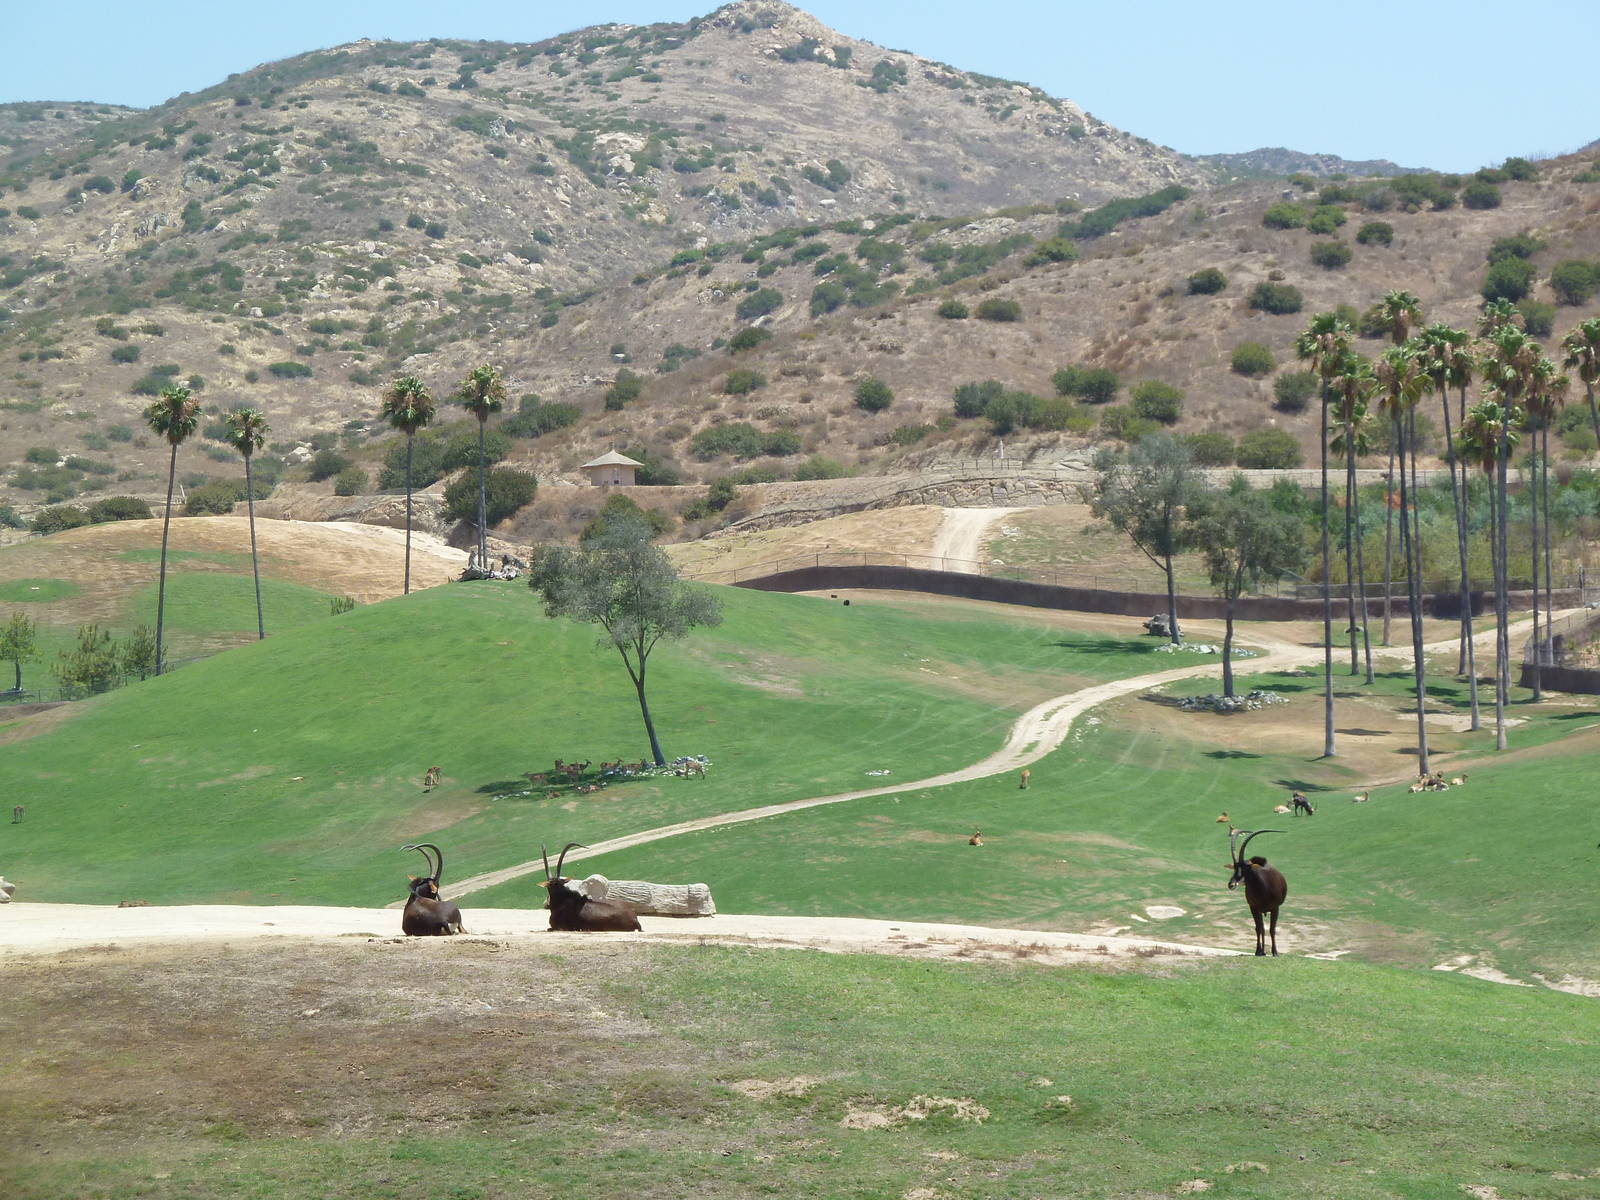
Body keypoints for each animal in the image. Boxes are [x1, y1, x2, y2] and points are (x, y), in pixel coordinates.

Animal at [1227, 828, 1288, 957]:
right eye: (1234, 868)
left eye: (1245, 868)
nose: (1231, 885)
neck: (1263, 888)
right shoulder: (1253, 907)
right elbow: (1258, 928)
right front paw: (1258, 951)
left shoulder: (1275, 908)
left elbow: (1272, 929)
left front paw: (1275, 953)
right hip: (1259, 910)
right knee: (1261, 928)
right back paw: (1263, 951)